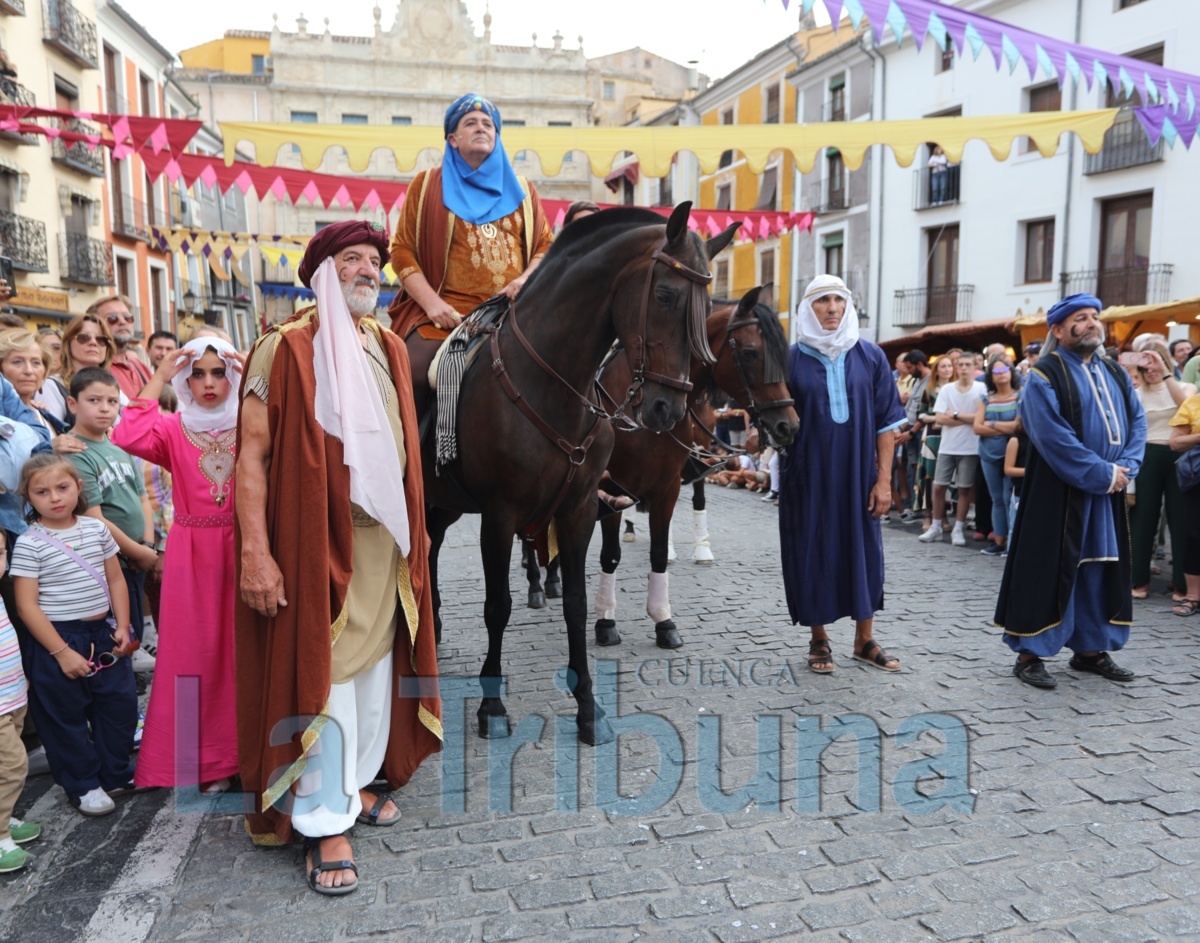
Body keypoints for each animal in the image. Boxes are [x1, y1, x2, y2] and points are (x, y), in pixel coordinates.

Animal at [410, 203, 739, 743]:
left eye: (707, 303)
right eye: (665, 295)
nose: (669, 408)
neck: (551, 383)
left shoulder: (580, 507)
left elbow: (578, 604)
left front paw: (588, 706)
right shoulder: (499, 515)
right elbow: (497, 606)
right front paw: (492, 705)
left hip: (448, 501)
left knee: (432, 543)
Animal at [590, 284, 796, 647]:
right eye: (751, 353)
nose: (789, 425)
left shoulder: (671, 482)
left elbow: (662, 547)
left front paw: (664, 620)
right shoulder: (612, 486)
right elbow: (610, 554)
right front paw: (605, 620)